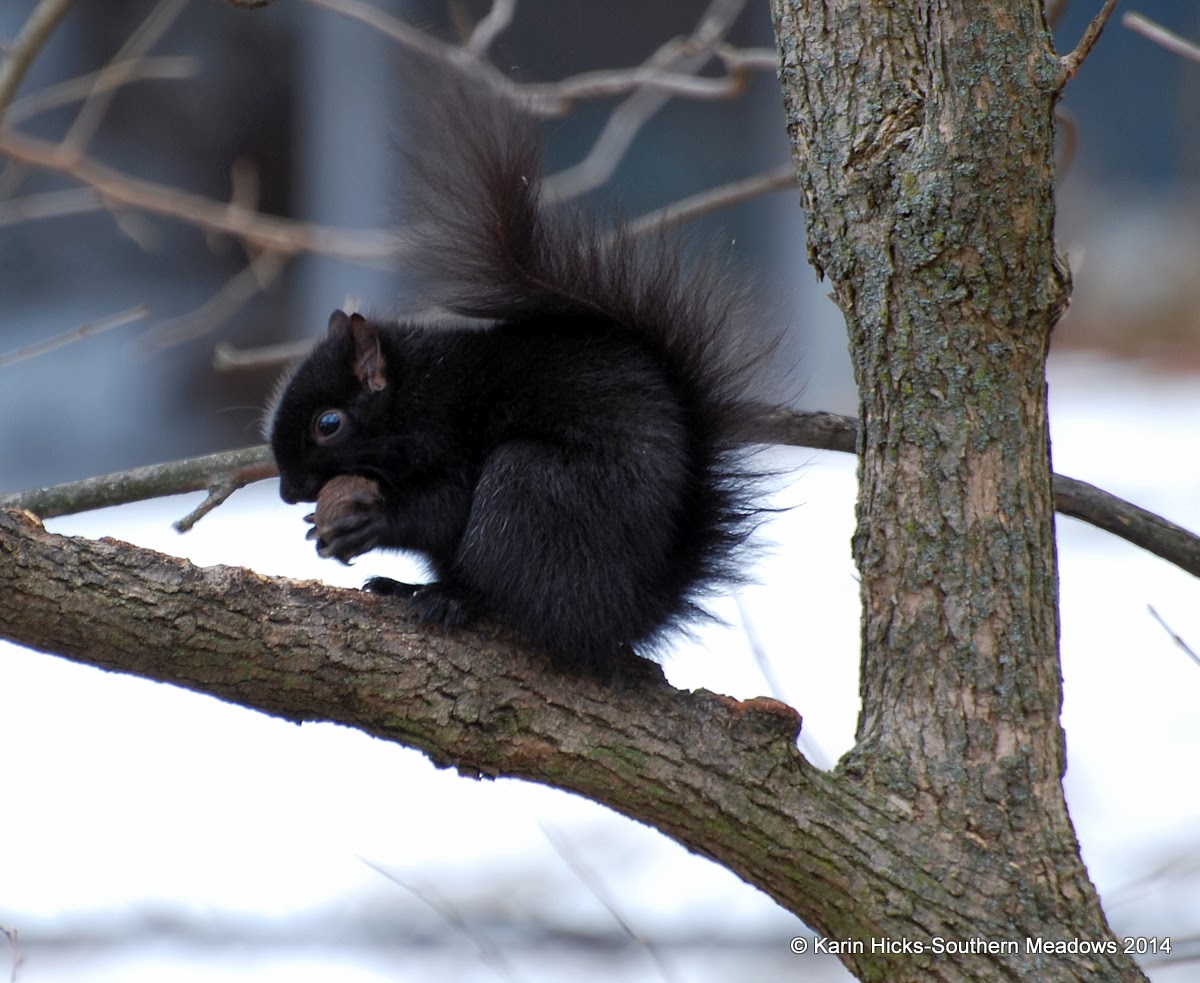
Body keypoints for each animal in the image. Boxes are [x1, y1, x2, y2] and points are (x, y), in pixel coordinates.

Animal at [267, 63, 782, 676]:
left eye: (329, 424)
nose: (288, 493)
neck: (415, 393)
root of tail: (624, 613)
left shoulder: (448, 436)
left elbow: (444, 508)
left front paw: (370, 521)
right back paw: (407, 587)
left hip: (531, 492)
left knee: (507, 588)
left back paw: (449, 598)